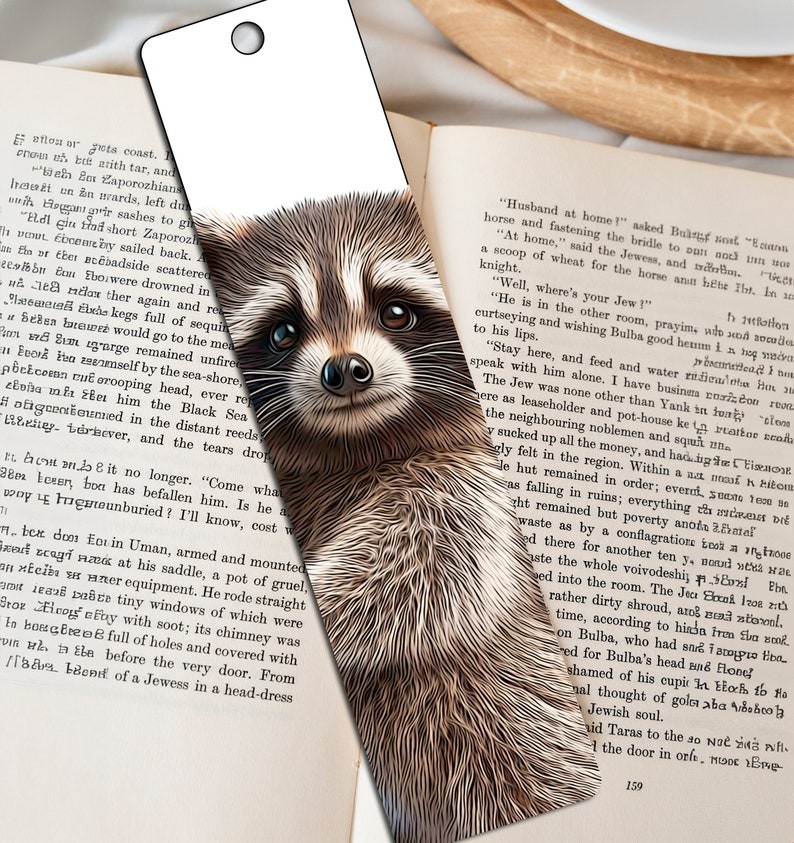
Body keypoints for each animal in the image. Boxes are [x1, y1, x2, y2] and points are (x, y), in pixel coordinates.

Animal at [193, 191, 599, 843]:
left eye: (396, 313)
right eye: (283, 330)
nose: (344, 370)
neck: (359, 441)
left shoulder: (465, 487)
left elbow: (418, 568)